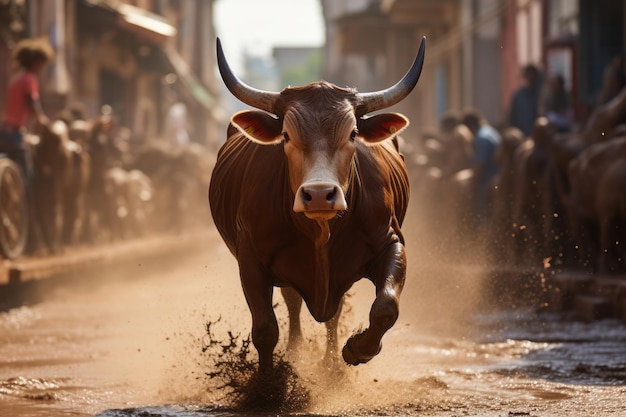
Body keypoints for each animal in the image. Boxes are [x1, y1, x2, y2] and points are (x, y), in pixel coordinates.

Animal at [210, 37, 424, 372]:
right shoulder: (251, 259)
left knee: (332, 315)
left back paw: (331, 364)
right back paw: (296, 352)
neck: (321, 231)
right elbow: (265, 328)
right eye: (286, 135)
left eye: (353, 133)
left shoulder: (391, 242)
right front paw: (268, 380)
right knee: (293, 304)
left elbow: (386, 306)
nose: (321, 194)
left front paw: (357, 350)